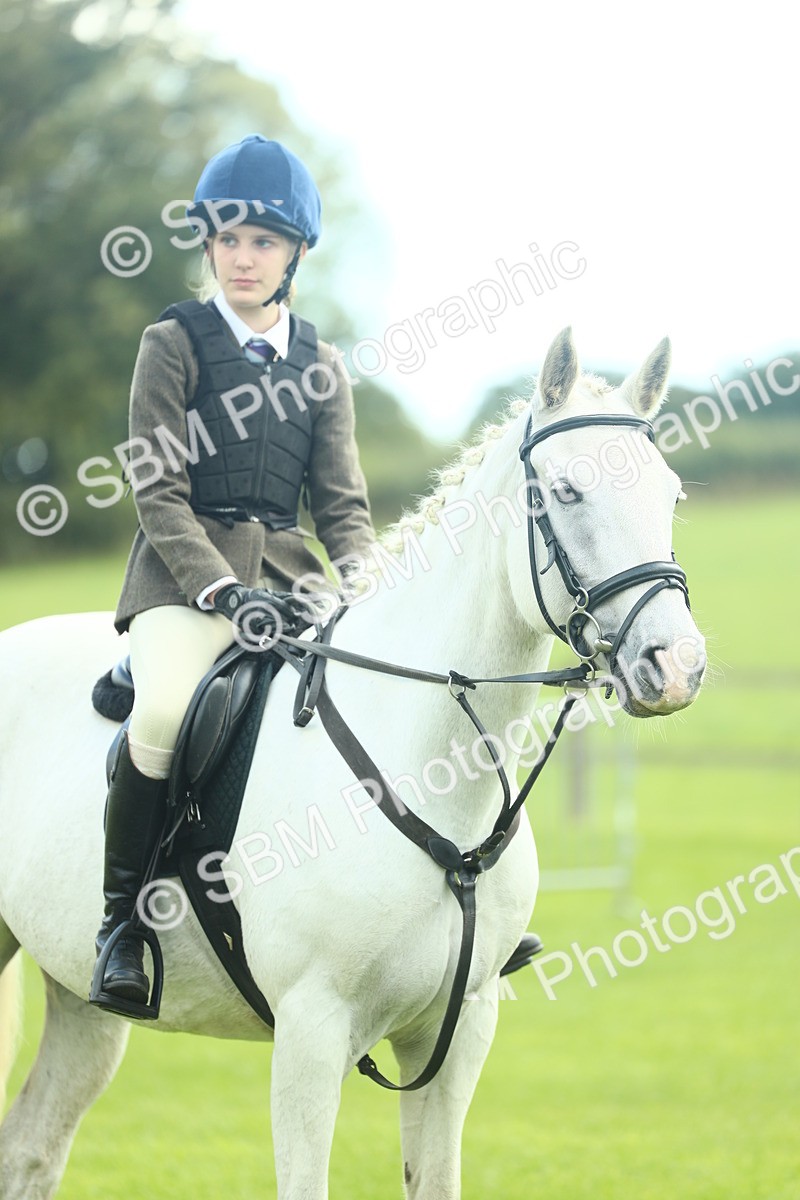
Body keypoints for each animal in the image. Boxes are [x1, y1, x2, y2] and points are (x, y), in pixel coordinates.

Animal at [0, 327, 706, 1199]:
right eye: (568, 492)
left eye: (670, 494)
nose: (674, 667)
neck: (429, 776)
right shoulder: (311, 1032)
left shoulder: (457, 1032)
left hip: (80, 1000)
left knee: (32, 1148)